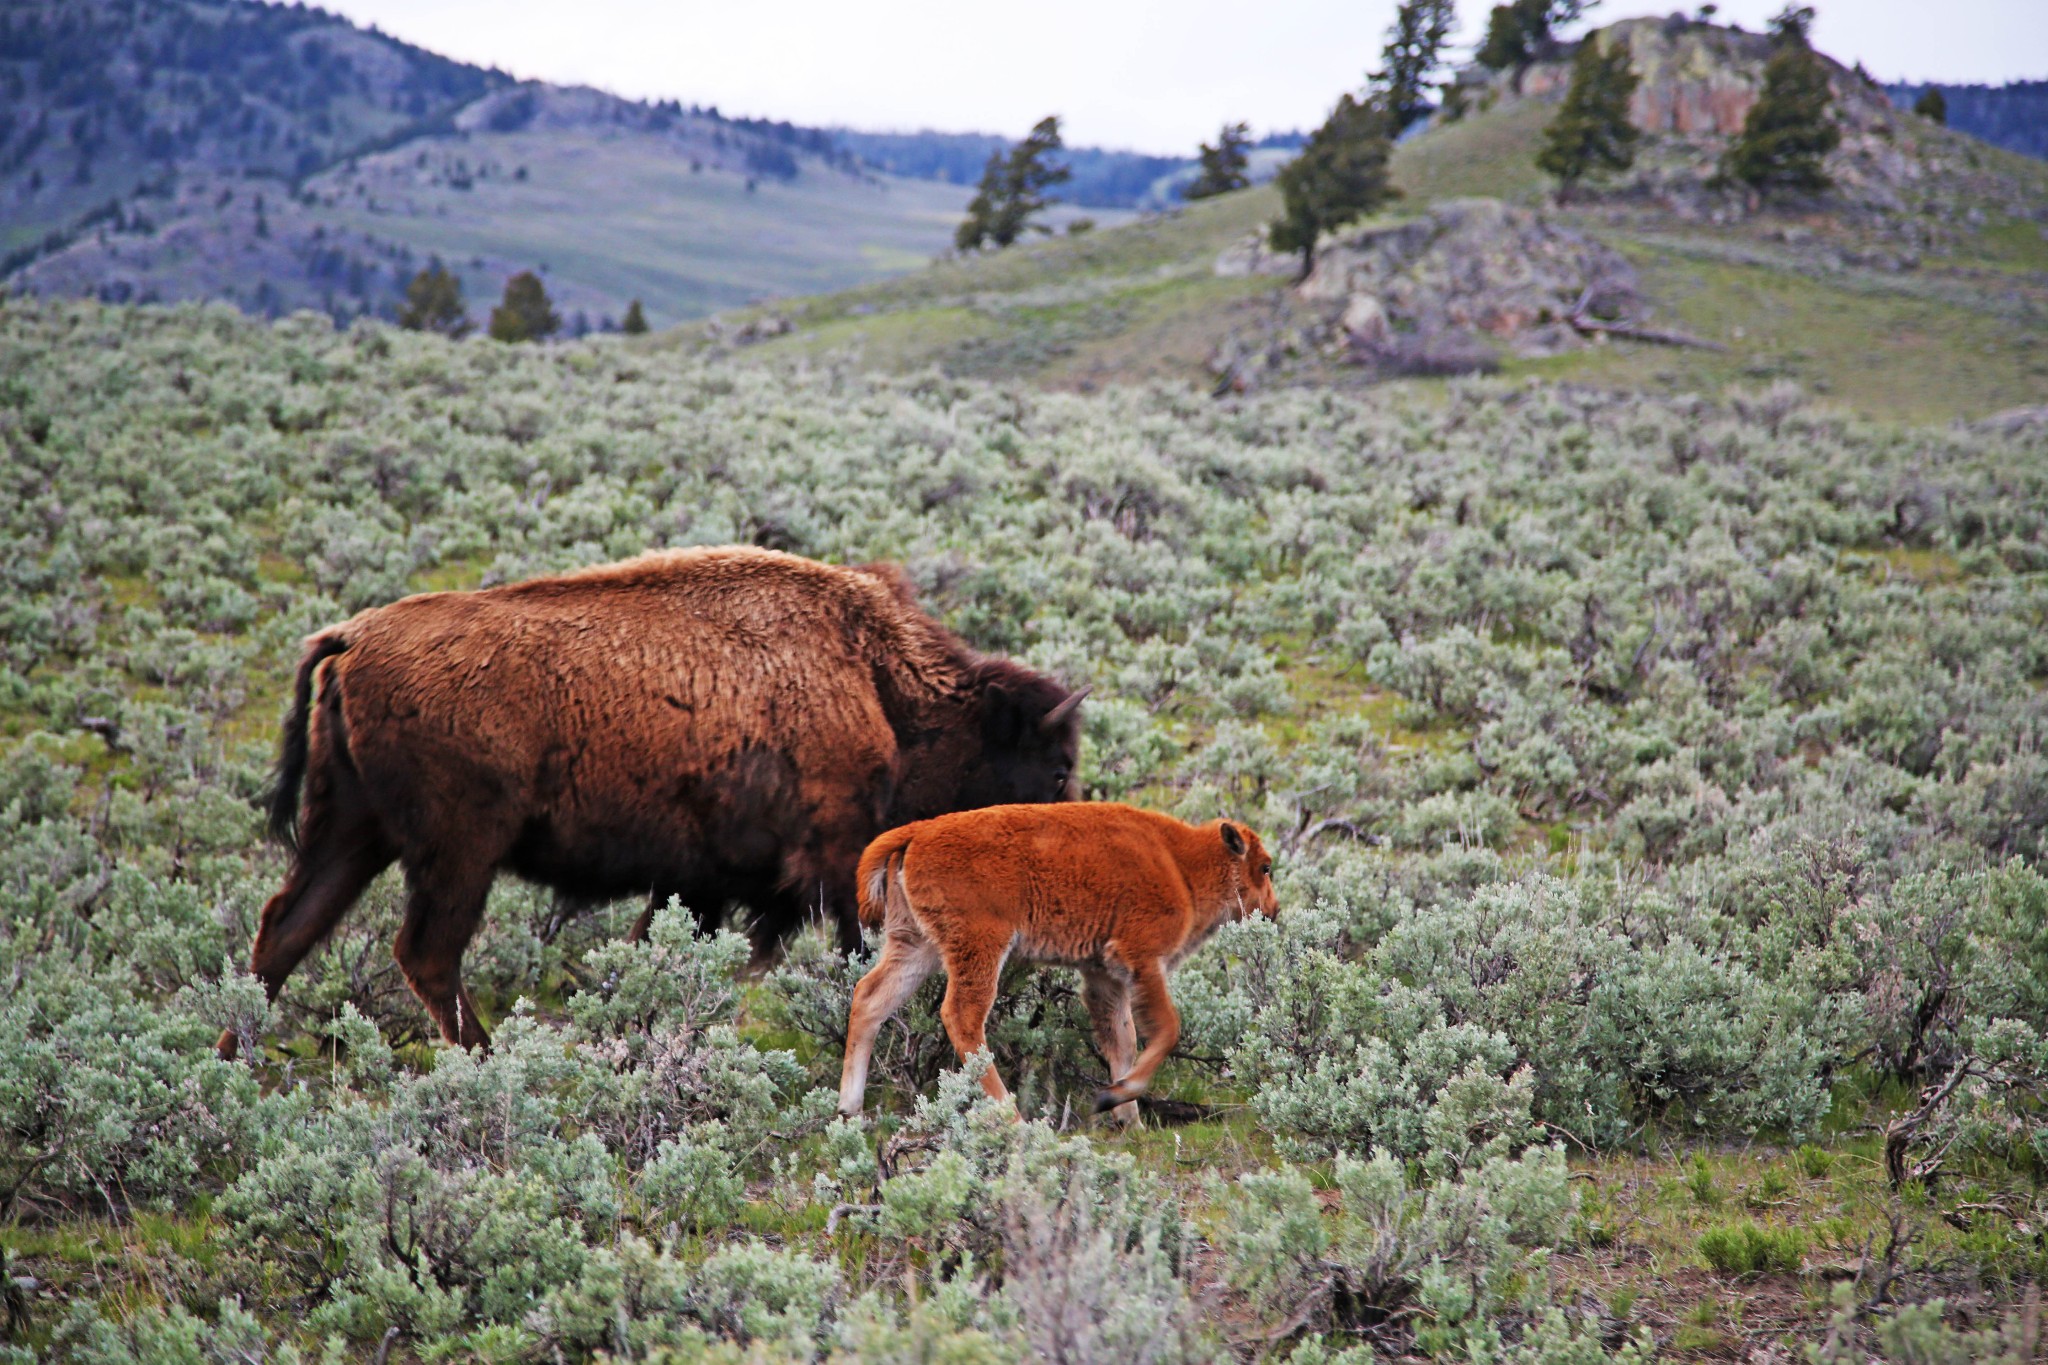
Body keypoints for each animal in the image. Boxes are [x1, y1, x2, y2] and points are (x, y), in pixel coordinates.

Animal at [224, 544, 1089, 1055]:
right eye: (1052, 771)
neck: (879, 683)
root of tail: (351, 639)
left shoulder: (703, 881)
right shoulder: (830, 858)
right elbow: (842, 945)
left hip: (352, 830)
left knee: (285, 932)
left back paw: (234, 1055)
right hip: (458, 846)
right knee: (426, 950)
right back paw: (488, 1055)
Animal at [839, 802, 1269, 1121]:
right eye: (1265, 868)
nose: (1272, 912)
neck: (1180, 862)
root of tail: (919, 832)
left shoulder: (1104, 975)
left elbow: (1123, 1040)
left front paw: (1126, 1117)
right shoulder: (1142, 960)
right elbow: (1166, 1030)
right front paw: (1115, 1099)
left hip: (915, 945)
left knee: (870, 997)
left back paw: (848, 1110)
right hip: (980, 945)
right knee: (962, 1016)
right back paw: (1011, 1116)